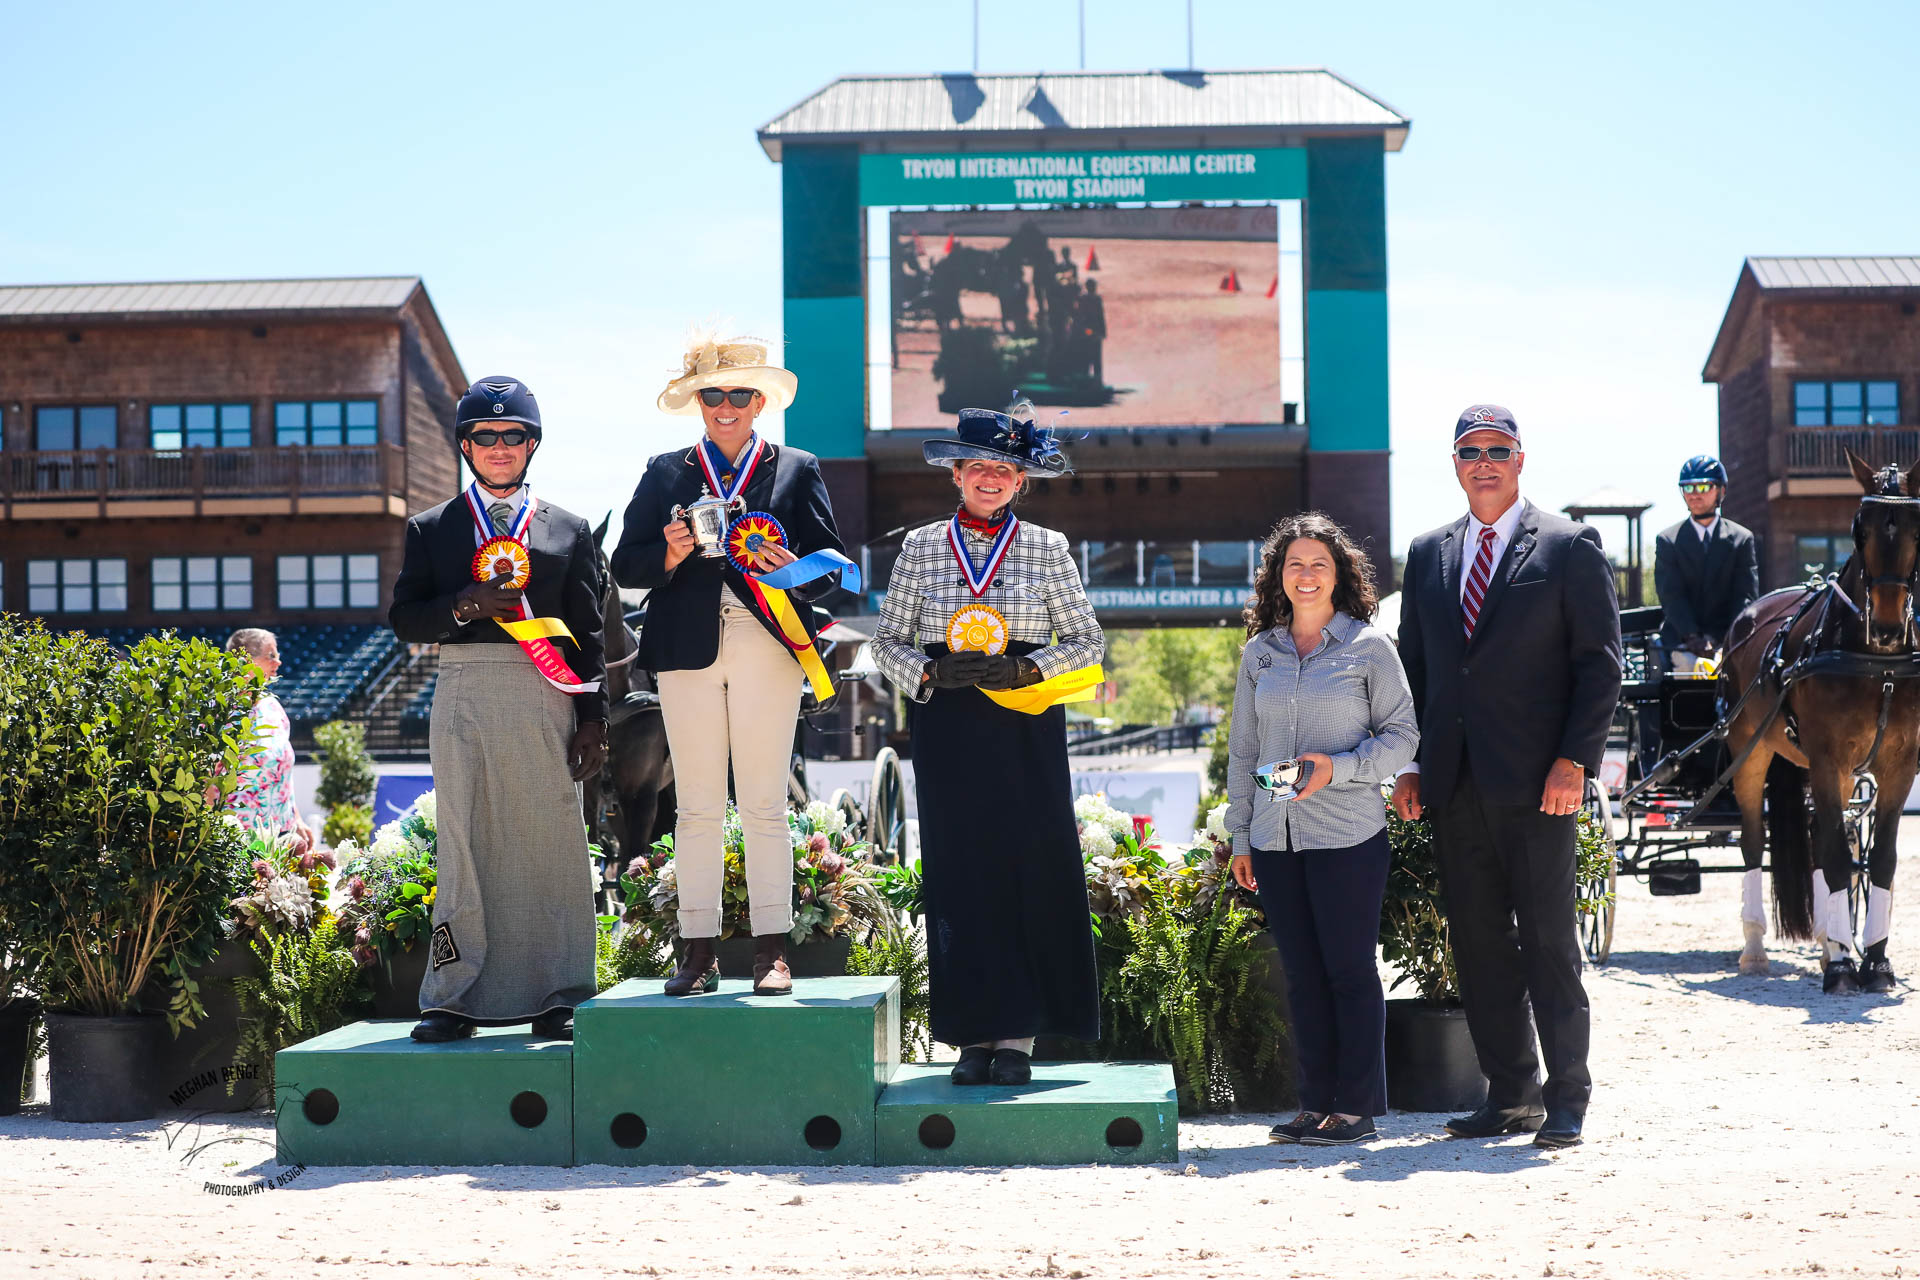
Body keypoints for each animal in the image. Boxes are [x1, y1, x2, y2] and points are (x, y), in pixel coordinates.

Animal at [1720, 454, 1920, 997]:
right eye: (1858, 529)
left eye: (1917, 529)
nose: (1888, 627)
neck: (1878, 664)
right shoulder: (1829, 758)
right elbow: (1833, 857)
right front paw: (1842, 968)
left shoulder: (1899, 765)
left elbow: (1880, 859)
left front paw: (1873, 960)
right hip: (1750, 751)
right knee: (1753, 841)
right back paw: (1755, 948)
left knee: (1815, 841)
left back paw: (1830, 942)